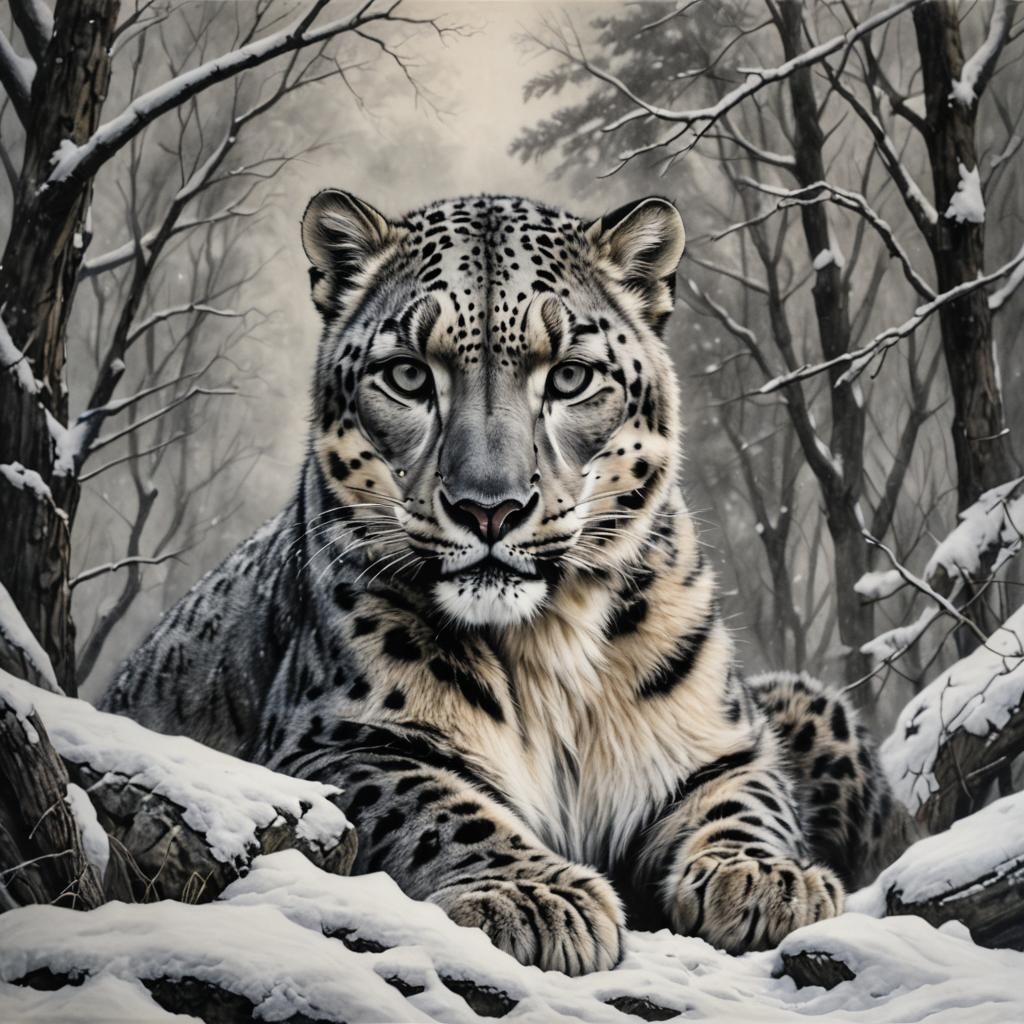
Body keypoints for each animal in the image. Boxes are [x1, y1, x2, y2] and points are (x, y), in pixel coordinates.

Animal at [102, 190, 908, 974]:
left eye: (571, 376)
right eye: (408, 375)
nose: (489, 507)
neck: (549, 640)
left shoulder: (722, 743)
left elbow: (746, 801)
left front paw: (765, 880)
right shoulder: (338, 743)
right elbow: (437, 804)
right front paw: (534, 896)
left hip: (804, 700)